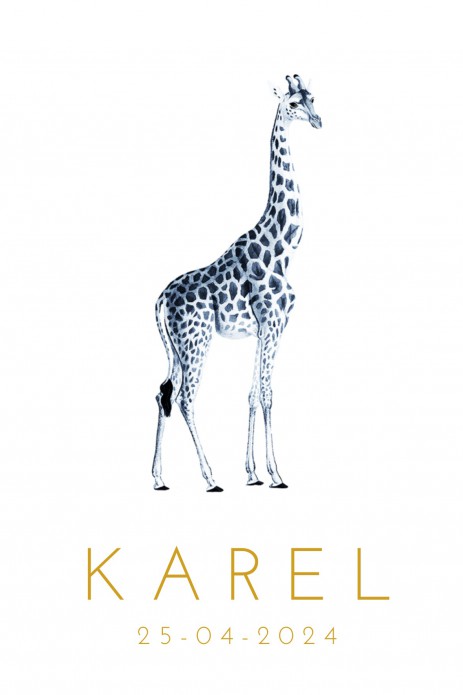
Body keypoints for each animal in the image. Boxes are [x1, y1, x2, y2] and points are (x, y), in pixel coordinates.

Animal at [152, 74, 322, 492]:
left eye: (313, 98)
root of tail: (160, 300)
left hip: (176, 347)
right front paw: (277, 474)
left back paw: (159, 477)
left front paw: (253, 473)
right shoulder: (274, 324)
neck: (283, 247)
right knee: (185, 397)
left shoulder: (261, 330)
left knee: (163, 392)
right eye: (293, 103)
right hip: (196, 341)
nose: (318, 121)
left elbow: (251, 394)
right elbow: (268, 394)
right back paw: (210, 477)